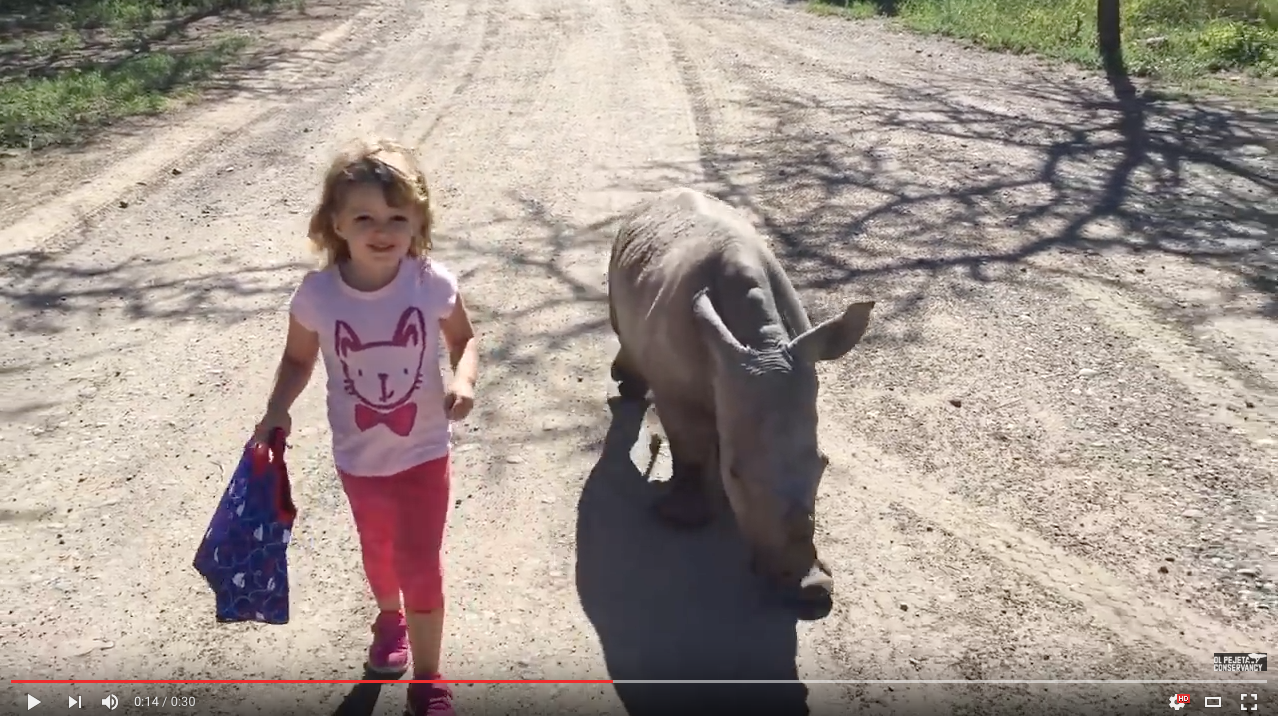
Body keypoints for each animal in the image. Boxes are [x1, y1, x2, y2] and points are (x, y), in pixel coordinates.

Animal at [606, 187, 875, 603]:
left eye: (824, 463)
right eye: (736, 472)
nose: (811, 590)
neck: (762, 346)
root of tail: (660, 196)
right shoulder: (677, 391)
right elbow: (690, 446)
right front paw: (681, 518)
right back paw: (628, 386)